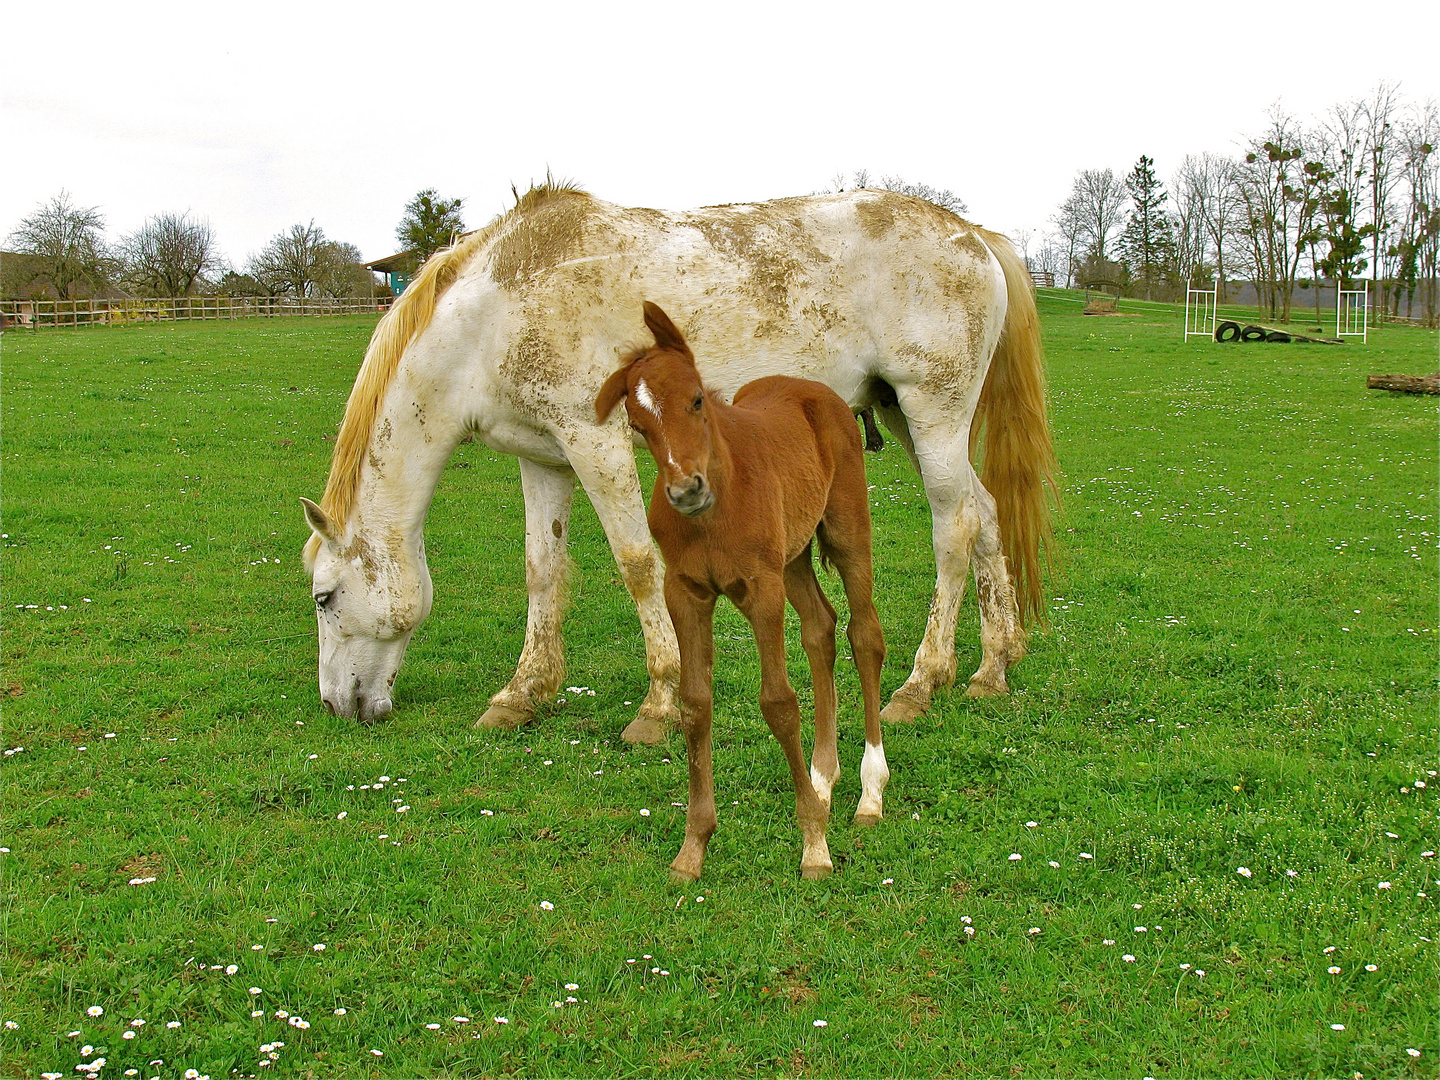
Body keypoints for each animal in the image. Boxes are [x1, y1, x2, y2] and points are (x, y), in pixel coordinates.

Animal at [300, 185, 1059, 743]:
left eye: (325, 597)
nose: (336, 704)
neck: (497, 310)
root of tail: (973, 235)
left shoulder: (595, 442)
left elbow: (638, 564)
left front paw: (659, 703)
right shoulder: (544, 459)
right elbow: (542, 572)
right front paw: (522, 694)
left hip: (933, 413)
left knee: (954, 529)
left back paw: (922, 682)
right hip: (904, 414)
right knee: (986, 516)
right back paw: (993, 667)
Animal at [596, 300, 887, 881]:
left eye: (696, 399)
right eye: (637, 425)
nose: (687, 490)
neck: (717, 507)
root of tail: (821, 392)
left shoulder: (760, 590)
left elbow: (778, 702)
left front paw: (814, 846)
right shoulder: (685, 592)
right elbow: (694, 704)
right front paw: (692, 848)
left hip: (845, 533)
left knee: (864, 633)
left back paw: (870, 793)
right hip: (793, 557)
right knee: (820, 627)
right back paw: (822, 777)